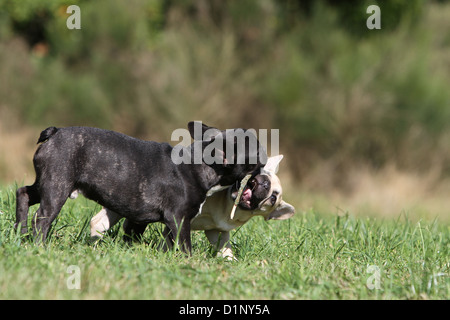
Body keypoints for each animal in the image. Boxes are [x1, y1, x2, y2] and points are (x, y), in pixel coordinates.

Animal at [15, 121, 264, 254]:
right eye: (254, 149)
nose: (262, 145)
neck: (201, 164)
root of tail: (55, 132)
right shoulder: (179, 218)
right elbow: (185, 245)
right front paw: (189, 261)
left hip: (47, 183)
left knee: (23, 193)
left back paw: (20, 231)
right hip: (57, 187)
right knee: (43, 218)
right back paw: (38, 246)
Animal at [90, 155, 296, 260]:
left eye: (273, 198)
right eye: (264, 173)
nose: (264, 182)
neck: (227, 205)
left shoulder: (217, 231)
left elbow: (225, 248)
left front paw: (231, 262)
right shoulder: (177, 219)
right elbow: (170, 240)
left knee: (99, 222)